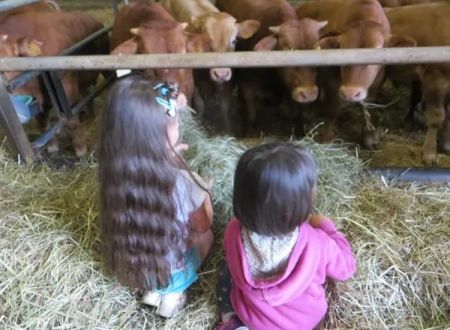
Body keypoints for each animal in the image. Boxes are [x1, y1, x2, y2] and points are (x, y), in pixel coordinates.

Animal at [0, 9, 106, 156]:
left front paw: (81, 151)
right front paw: (52, 147)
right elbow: (44, 124)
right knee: (86, 93)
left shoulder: (67, 87)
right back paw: (90, 115)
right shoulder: (37, 101)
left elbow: (71, 120)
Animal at [216, 0, 326, 135]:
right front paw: (247, 134)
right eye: (287, 50)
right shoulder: (245, 83)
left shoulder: (291, 87)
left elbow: (296, 114)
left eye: (317, 49)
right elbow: (251, 114)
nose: (309, 93)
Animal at [296, 0, 414, 147]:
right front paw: (327, 137)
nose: (350, 92)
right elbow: (333, 107)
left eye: (377, 51)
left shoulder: (377, 83)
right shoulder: (331, 80)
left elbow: (368, 105)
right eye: (342, 48)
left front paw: (368, 135)